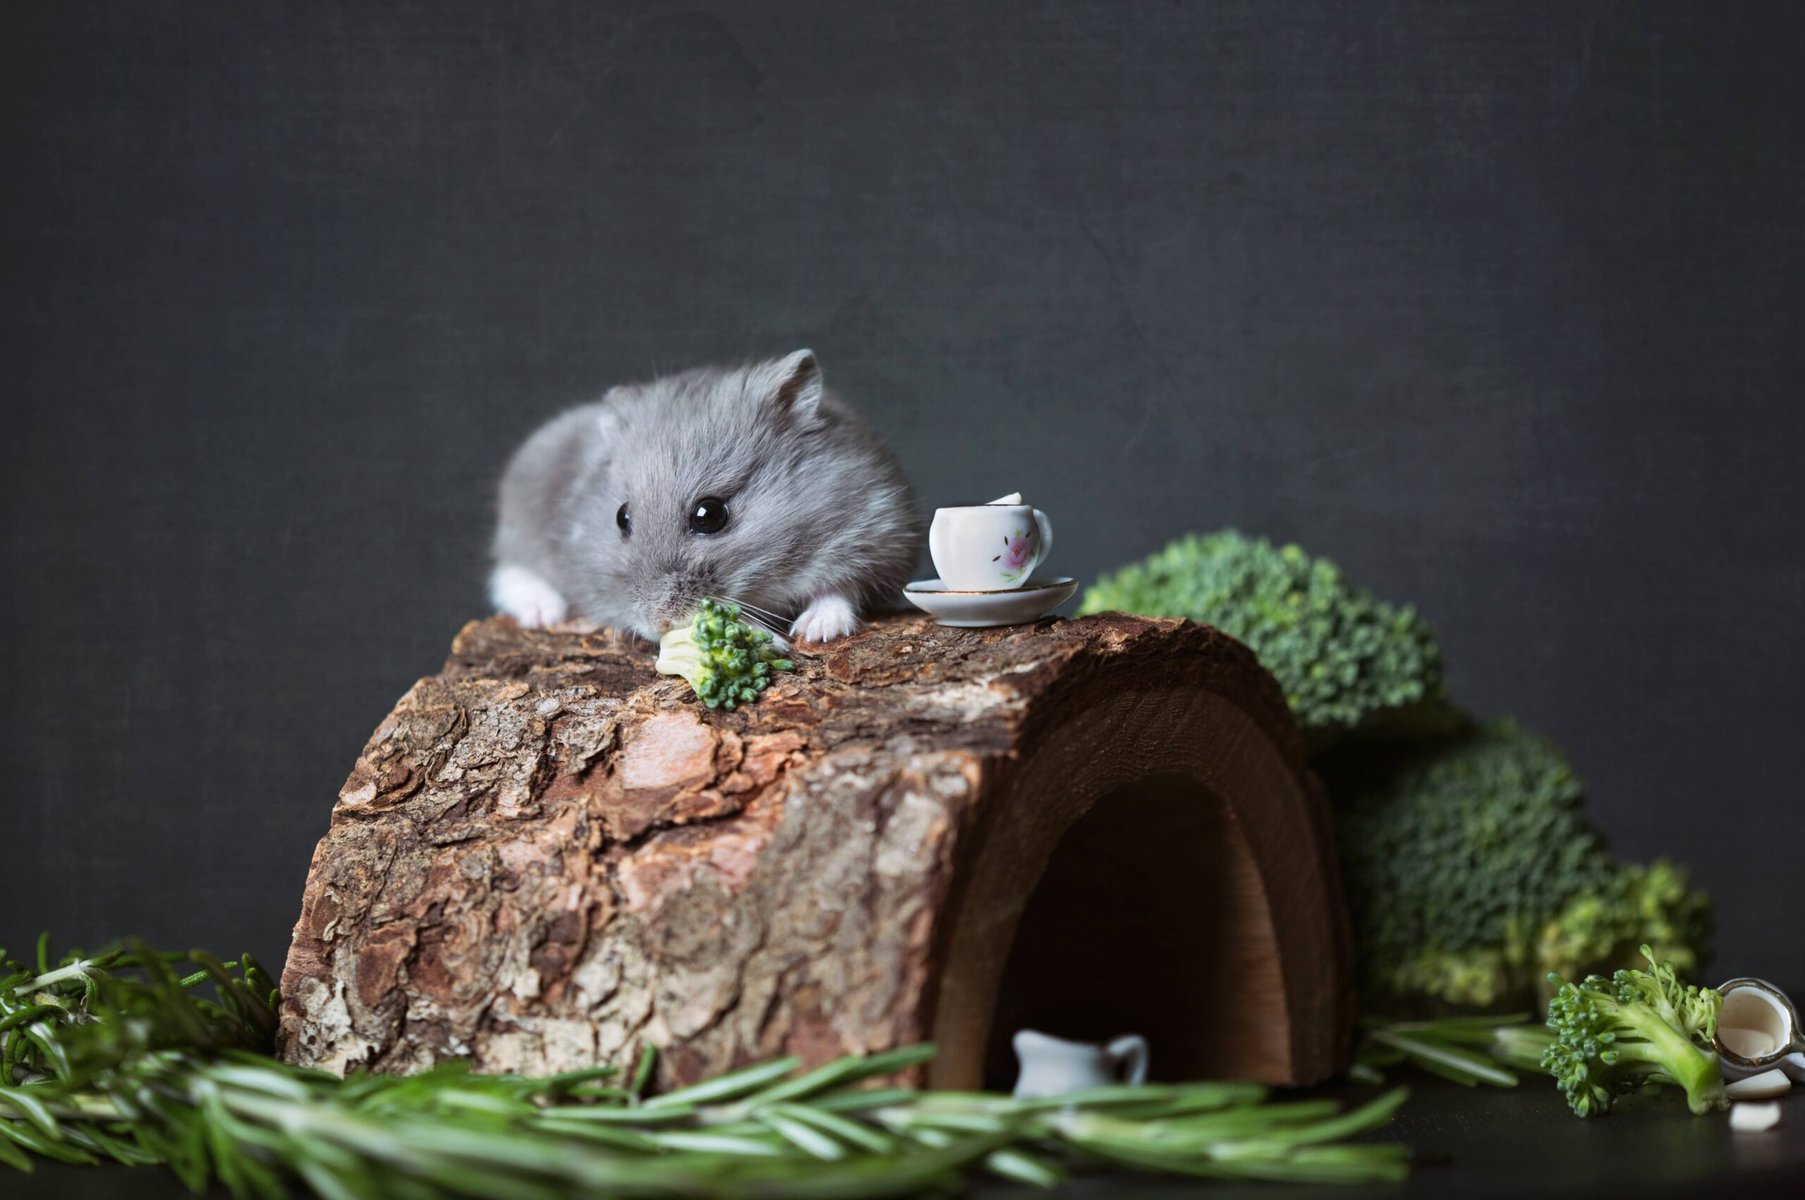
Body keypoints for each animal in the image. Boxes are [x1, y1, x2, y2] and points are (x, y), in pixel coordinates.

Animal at [489, 349, 919, 644]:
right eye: (621, 518)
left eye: (709, 514)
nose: (658, 623)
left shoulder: (876, 532)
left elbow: (841, 589)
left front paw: (814, 631)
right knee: (510, 572)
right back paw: (543, 613)